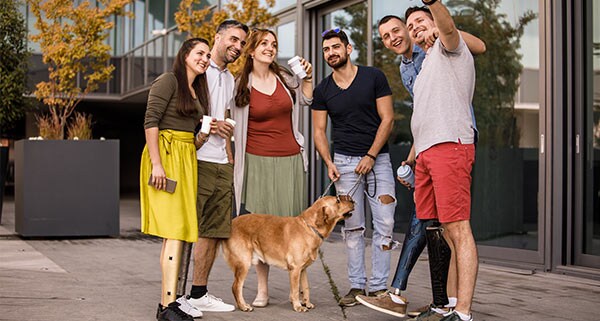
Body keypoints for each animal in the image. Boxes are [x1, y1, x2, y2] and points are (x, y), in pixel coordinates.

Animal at [221, 194, 354, 312]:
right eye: (337, 200)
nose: (352, 200)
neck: (309, 228)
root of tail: (231, 223)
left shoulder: (303, 269)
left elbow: (306, 288)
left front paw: (307, 303)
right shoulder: (295, 269)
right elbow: (295, 290)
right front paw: (298, 306)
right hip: (244, 263)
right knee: (236, 287)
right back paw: (243, 306)